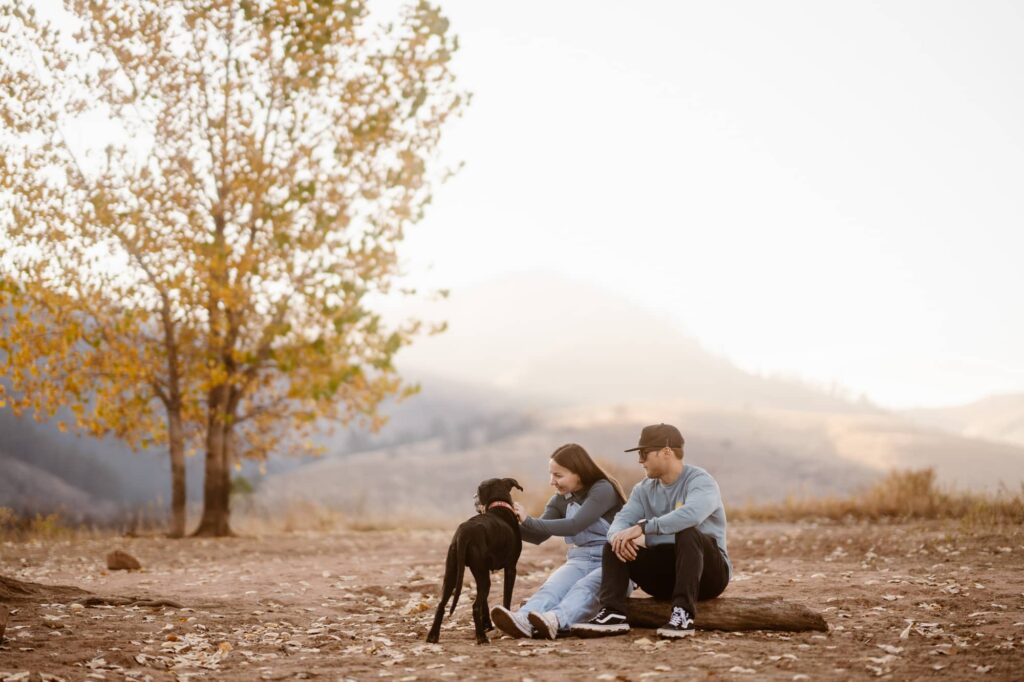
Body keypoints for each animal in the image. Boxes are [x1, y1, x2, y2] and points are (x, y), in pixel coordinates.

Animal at [423, 475, 524, 638]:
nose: (473, 497)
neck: (498, 504)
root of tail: (464, 532)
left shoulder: (482, 571)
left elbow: (485, 603)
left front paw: (487, 624)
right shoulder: (510, 568)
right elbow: (505, 599)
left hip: (452, 573)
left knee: (441, 604)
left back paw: (433, 636)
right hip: (483, 578)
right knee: (475, 606)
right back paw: (481, 638)